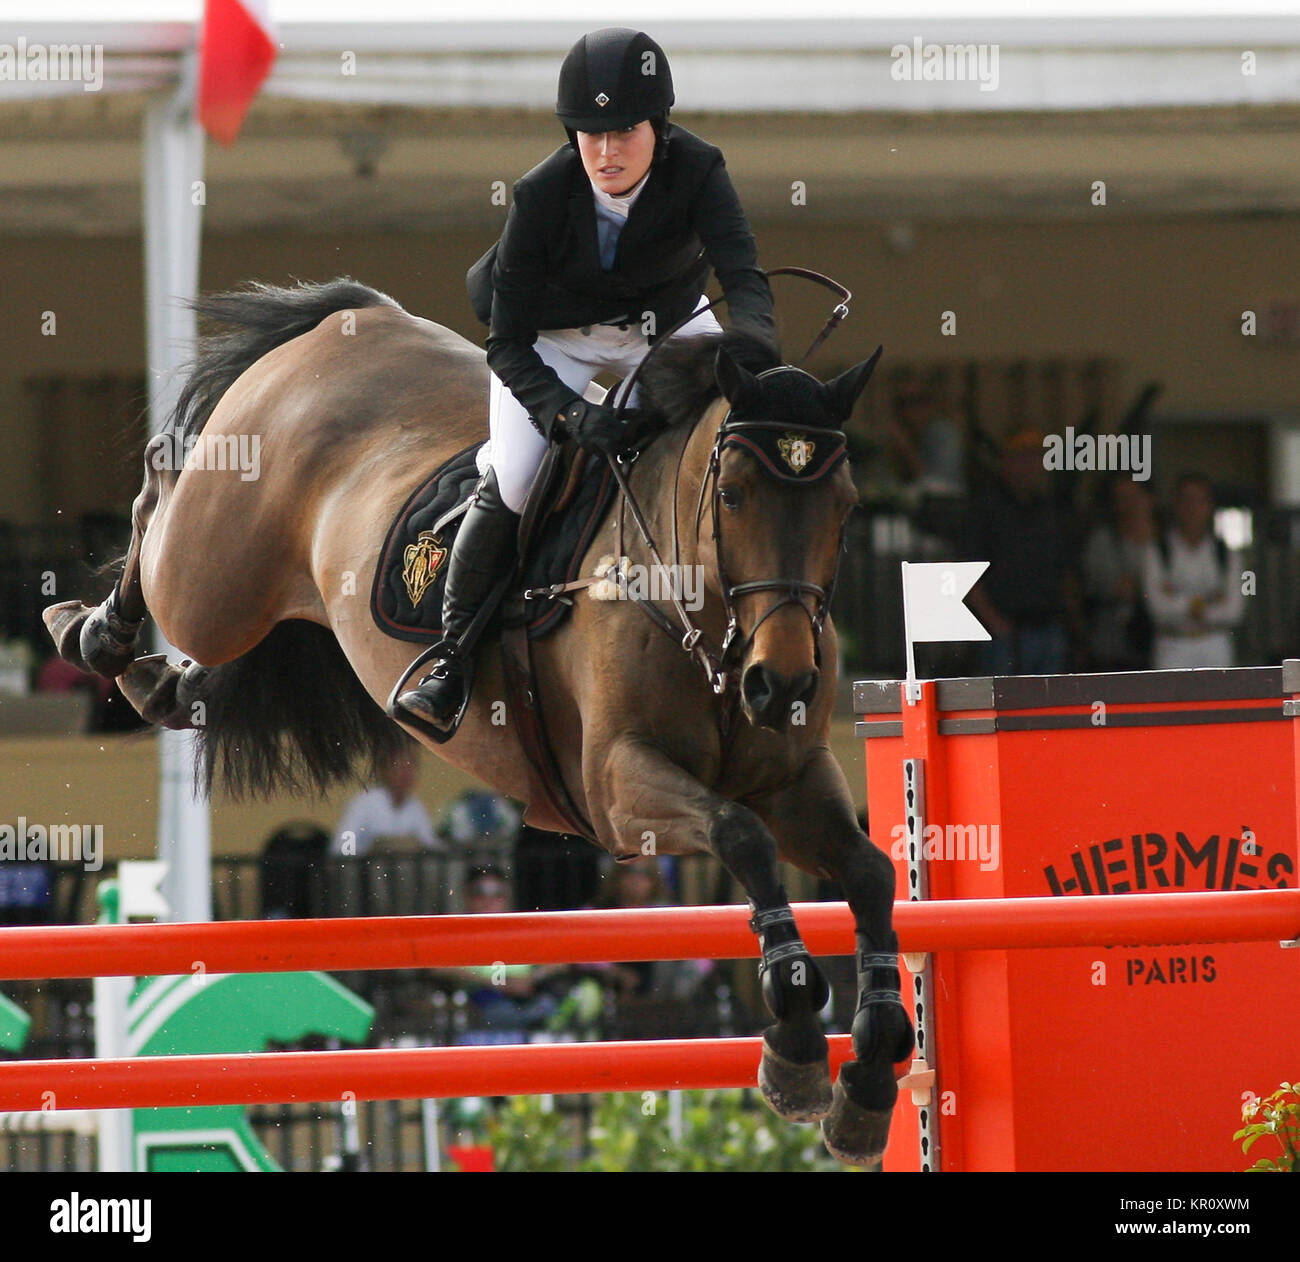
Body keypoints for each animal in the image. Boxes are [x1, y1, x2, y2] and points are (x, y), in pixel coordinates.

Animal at [43, 279, 915, 1164]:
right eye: (732, 495)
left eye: (845, 509)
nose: (782, 685)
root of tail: (350, 317)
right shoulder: (617, 786)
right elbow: (743, 836)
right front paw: (798, 1041)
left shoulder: (794, 782)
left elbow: (869, 872)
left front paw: (869, 1080)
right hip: (215, 571)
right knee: (159, 503)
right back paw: (93, 629)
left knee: (206, 653)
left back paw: (159, 680)